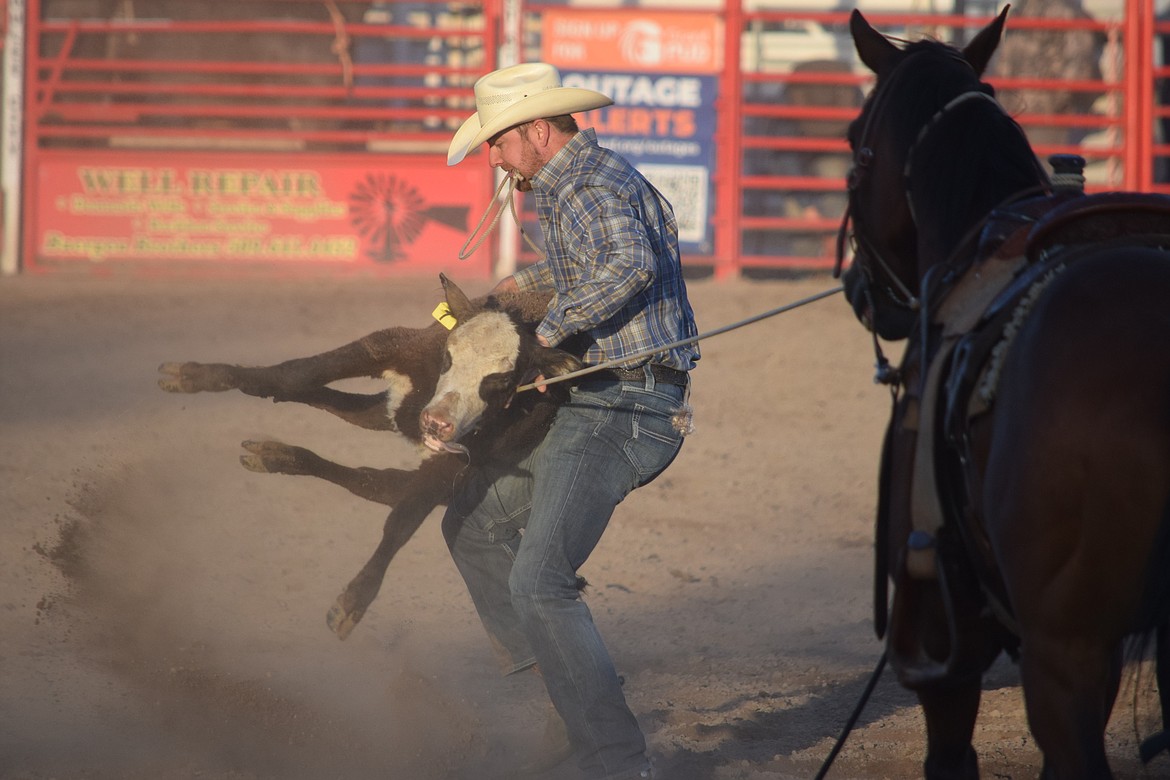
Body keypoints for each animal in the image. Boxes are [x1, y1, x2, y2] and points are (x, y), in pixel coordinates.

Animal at [157, 275, 585, 640]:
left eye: (502, 380)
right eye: (449, 356)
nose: (437, 423)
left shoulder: (454, 460)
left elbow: (403, 517)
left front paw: (353, 602)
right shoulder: (393, 345)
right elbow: (297, 374)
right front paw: (193, 376)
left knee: (375, 480)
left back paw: (273, 454)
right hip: (393, 406)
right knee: (330, 409)